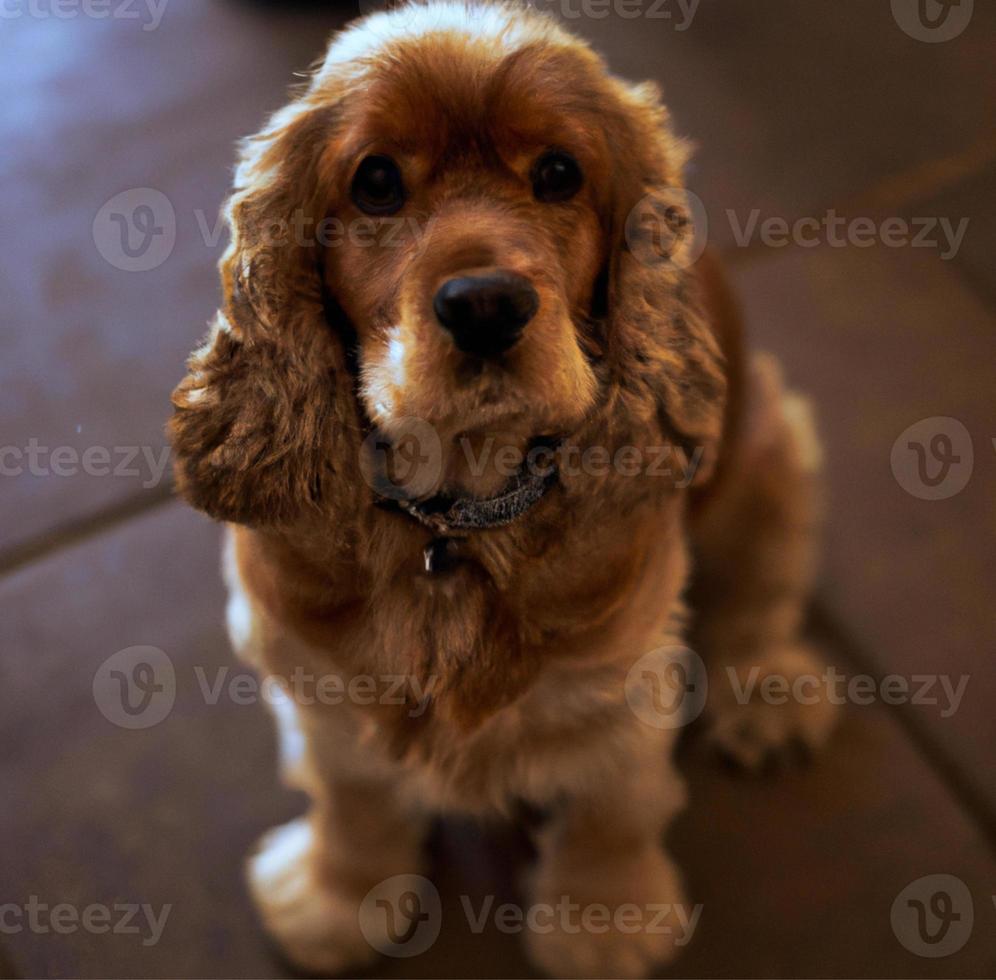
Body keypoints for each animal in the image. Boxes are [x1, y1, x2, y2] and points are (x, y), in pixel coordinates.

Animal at [171, 5, 840, 972]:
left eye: (559, 173)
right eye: (376, 183)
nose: (486, 305)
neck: (454, 523)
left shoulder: (621, 678)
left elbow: (613, 808)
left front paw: (604, 925)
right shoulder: (313, 668)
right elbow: (351, 795)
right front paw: (337, 900)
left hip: (771, 448)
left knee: (766, 586)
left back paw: (773, 692)